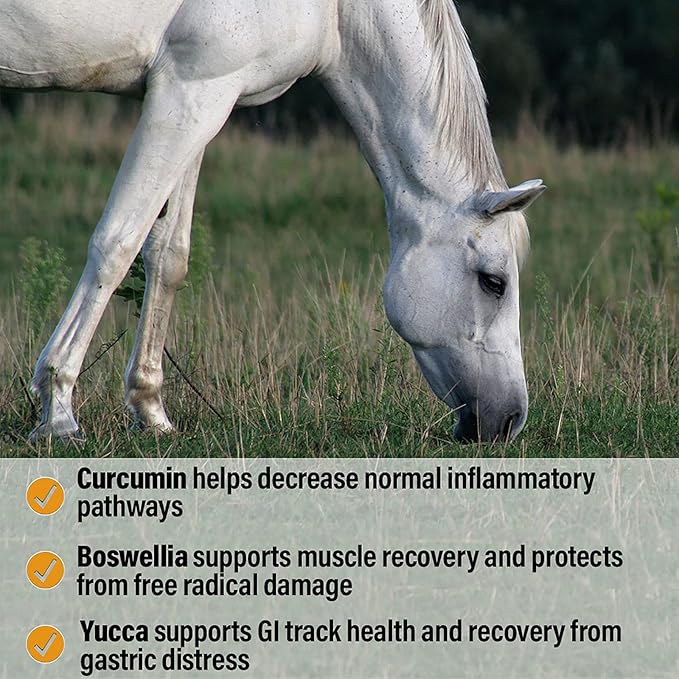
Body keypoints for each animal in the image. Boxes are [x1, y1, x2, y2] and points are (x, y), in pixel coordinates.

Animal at [1, 0, 545, 443]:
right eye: (494, 282)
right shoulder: (190, 90)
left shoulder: (199, 99)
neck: (337, 11)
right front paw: (57, 410)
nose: (511, 420)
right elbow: (116, 244)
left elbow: (168, 256)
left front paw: (150, 409)